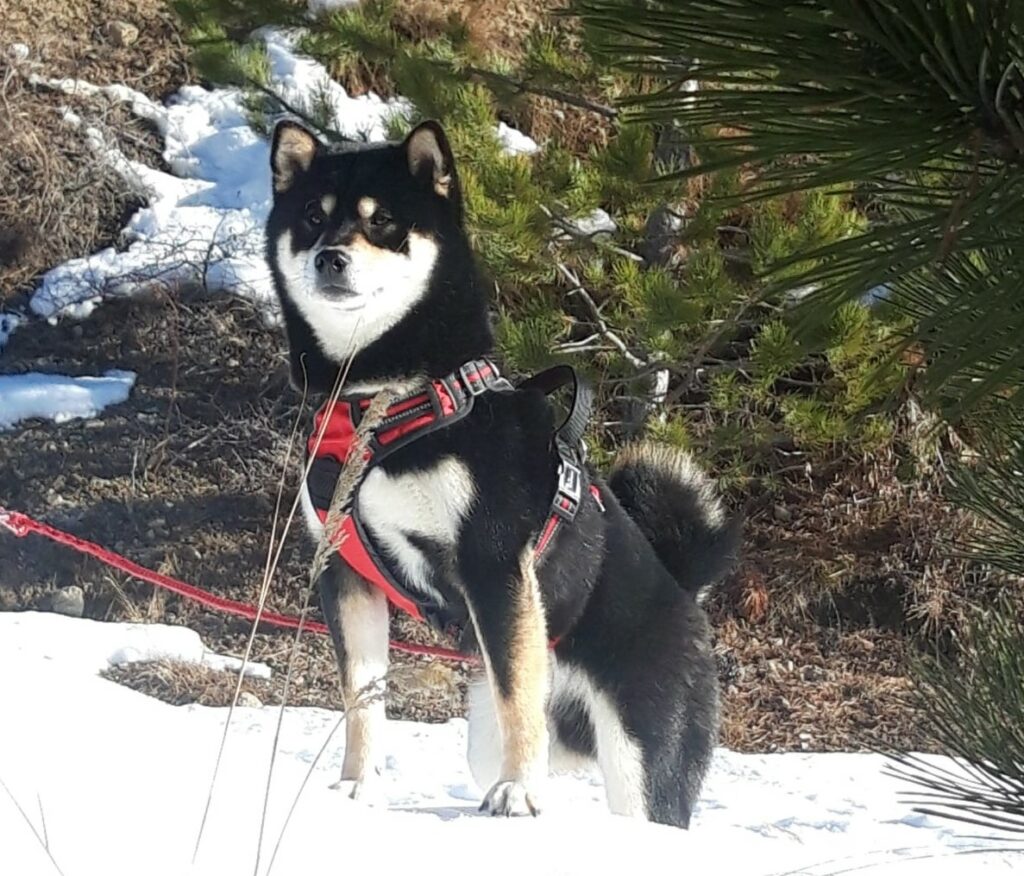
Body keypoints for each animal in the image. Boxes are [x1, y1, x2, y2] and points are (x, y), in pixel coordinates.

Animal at [266, 118, 737, 827]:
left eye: (384, 222)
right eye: (313, 218)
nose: (330, 258)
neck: (388, 403)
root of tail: (684, 590)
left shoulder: (493, 562)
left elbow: (517, 700)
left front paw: (518, 793)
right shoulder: (346, 572)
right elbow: (362, 701)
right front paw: (356, 785)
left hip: (643, 757)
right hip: (494, 728)